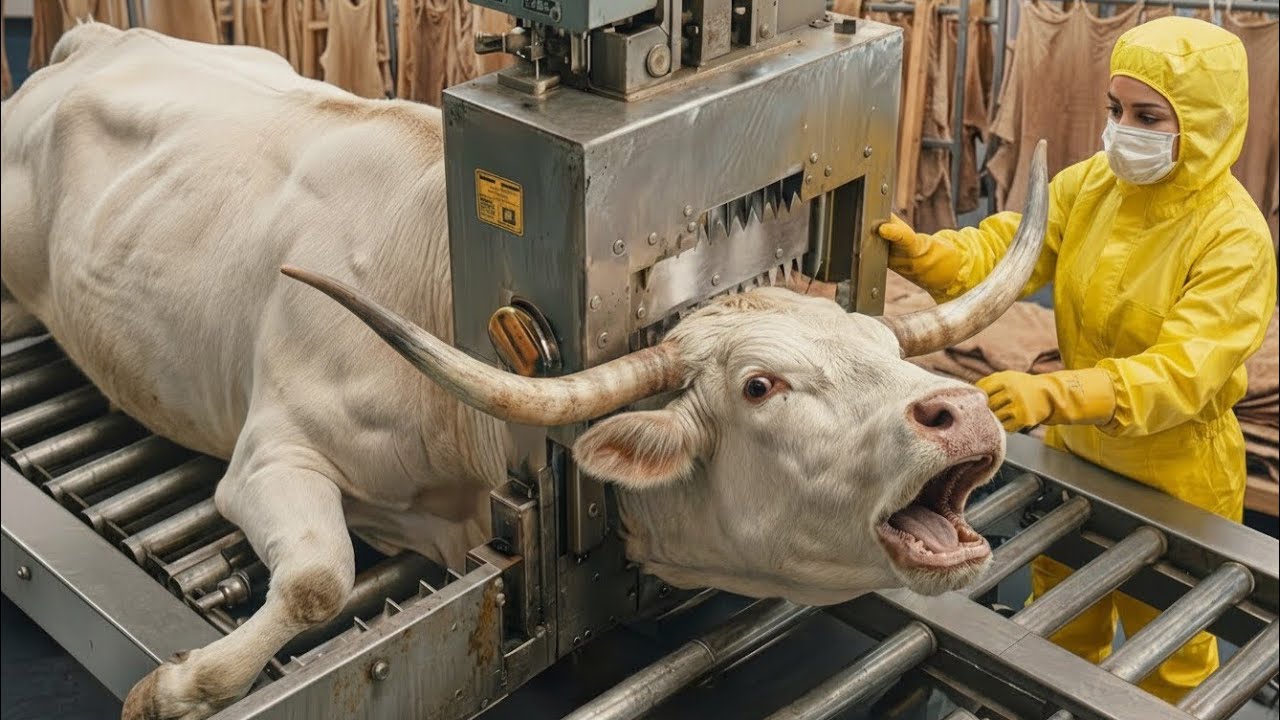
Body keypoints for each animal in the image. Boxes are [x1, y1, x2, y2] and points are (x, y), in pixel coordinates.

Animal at [0, 21, 1048, 720]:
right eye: (761, 387)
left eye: (885, 350)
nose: (963, 412)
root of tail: (90, 36)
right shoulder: (271, 452)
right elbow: (319, 585)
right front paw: (175, 687)